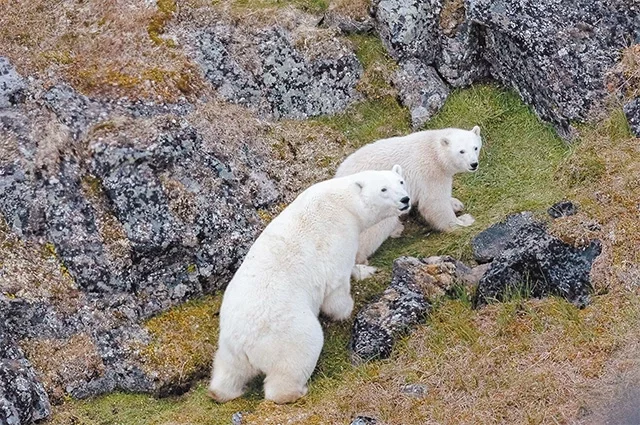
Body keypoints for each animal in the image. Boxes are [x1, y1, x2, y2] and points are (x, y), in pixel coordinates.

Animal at [209, 164, 410, 402]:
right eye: (383, 189)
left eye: (400, 181)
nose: (405, 199)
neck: (342, 202)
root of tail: (243, 343)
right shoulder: (338, 234)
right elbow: (336, 285)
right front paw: (347, 309)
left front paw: (366, 270)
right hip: (288, 333)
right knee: (298, 356)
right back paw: (296, 391)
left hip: (228, 349)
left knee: (227, 372)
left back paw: (223, 392)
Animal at [336, 126, 480, 264]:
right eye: (461, 151)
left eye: (475, 147)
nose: (474, 164)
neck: (434, 150)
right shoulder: (430, 172)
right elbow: (434, 203)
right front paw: (464, 222)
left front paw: (456, 204)